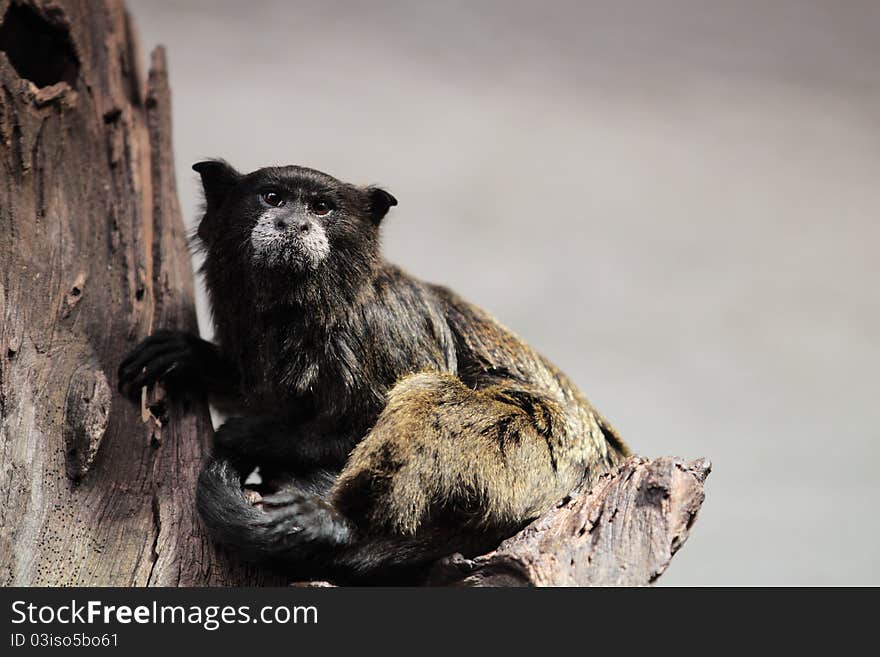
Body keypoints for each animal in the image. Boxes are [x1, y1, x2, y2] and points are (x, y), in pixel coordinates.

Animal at [117, 160, 628, 584]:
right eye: (273, 198)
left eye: (321, 207)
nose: (293, 223)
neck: (307, 308)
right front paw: (194, 358)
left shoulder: (383, 323)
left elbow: (362, 419)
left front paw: (255, 438)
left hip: (542, 455)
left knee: (434, 397)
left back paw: (337, 523)